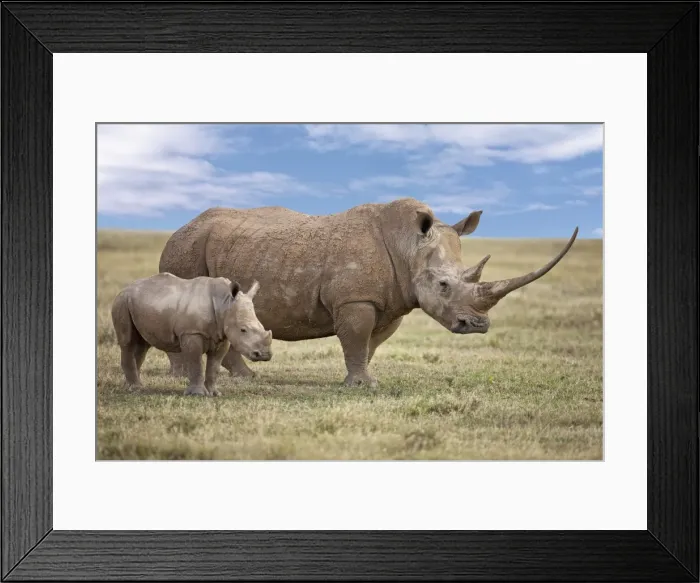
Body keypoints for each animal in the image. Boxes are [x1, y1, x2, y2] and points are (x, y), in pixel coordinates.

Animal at [111, 273, 272, 396]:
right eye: (243, 330)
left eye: (262, 327)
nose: (264, 355)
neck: (224, 304)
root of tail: (125, 289)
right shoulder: (191, 333)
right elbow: (196, 362)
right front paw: (197, 394)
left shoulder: (222, 336)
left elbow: (214, 365)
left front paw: (214, 393)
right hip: (121, 302)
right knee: (128, 342)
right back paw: (135, 388)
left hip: (139, 304)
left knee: (142, 346)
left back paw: (131, 386)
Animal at [158, 198, 578, 387]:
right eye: (444, 285)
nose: (477, 325)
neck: (410, 246)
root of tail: (178, 228)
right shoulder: (355, 298)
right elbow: (357, 339)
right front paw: (363, 386)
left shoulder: (391, 303)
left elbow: (369, 345)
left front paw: (364, 381)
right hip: (185, 249)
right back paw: (181, 378)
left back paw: (245, 377)